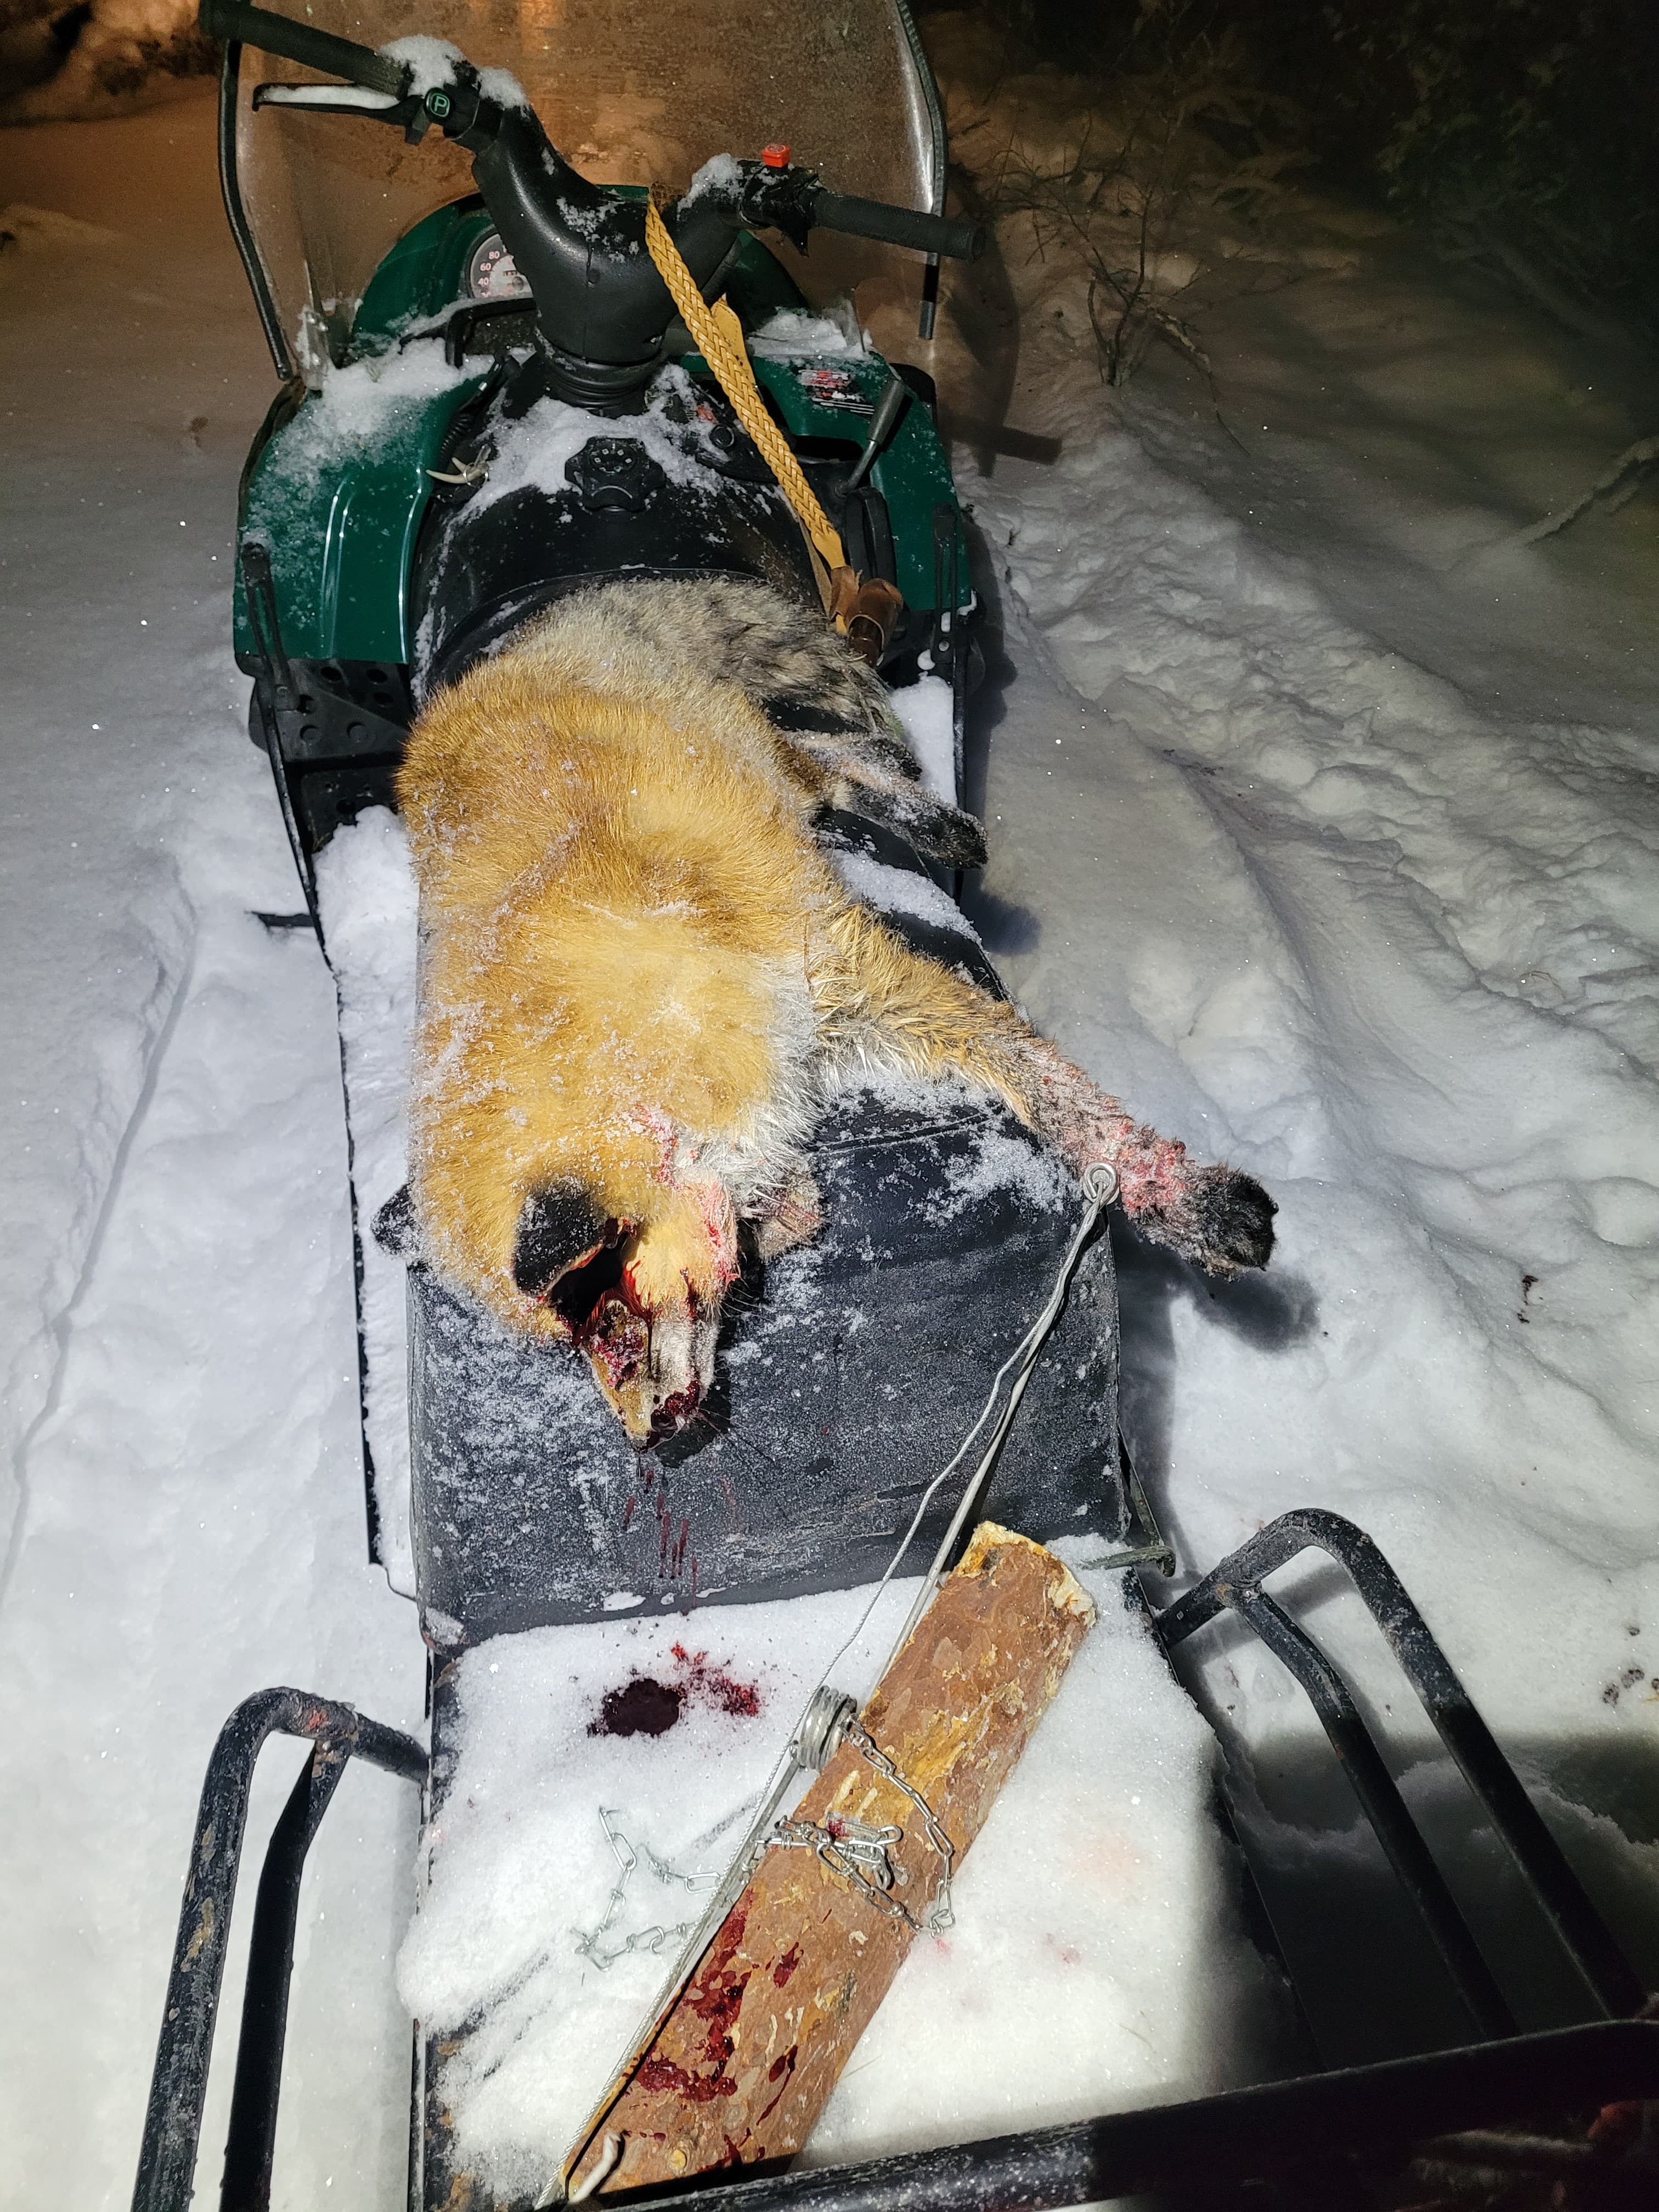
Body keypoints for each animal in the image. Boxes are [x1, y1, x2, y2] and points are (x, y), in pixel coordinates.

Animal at [388, 576, 1275, 1446]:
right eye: (572, 1347)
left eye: (606, 1319)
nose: (648, 1443)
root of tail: (525, 652)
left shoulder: (849, 975)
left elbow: (1067, 1105)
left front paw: (1186, 1201)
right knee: (824, 759)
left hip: (760, 761)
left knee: (816, 762)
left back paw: (935, 820)